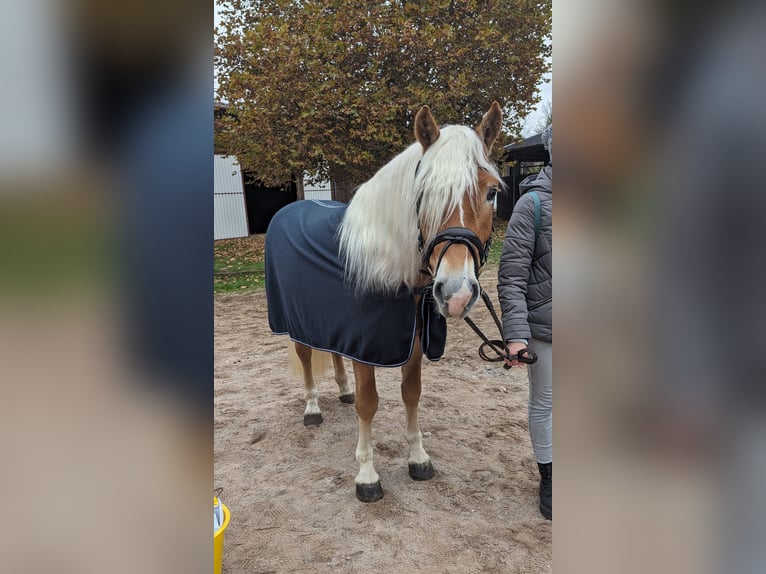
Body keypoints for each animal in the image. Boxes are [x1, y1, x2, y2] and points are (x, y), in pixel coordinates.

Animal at [268, 103, 508, 504]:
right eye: (424, 192)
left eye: (491, 192)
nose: (456, 292)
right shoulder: (366, 347)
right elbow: (369, 404)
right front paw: (366, 475)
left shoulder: (411, 342)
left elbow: (411, 395)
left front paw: (418, 458)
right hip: (297, 323)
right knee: (305, 358)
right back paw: (313, 408)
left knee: (333, 355)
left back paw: (342, 391)